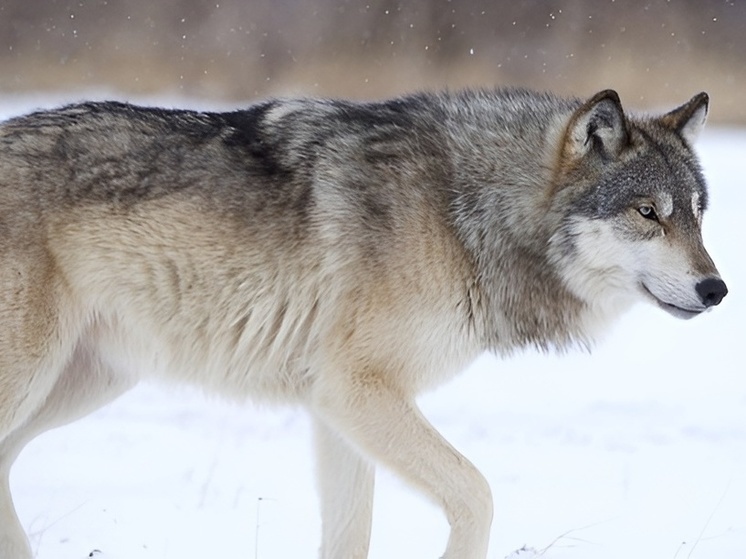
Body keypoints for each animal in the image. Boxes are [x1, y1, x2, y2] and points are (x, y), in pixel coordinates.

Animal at [0, 88, 724, 559]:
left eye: (695, 213)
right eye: (647, 213)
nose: (716, 289)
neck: (463, 212)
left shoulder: (336, 410)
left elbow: (352, 536)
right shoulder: (356, 391)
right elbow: (478, 493)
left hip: (84, 382)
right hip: (36, 376)